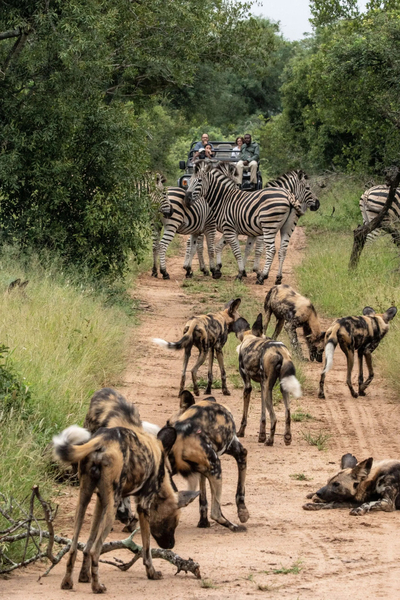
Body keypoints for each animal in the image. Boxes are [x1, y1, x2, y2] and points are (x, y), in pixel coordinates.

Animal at [52, 392, 197, 592]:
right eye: (174, 521)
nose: (171, 545)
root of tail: (102, 441)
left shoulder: (99, 500)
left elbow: (87, 544)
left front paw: (84, 576)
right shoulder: (143, 506)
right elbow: (146, 548)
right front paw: (152, 573)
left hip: (84, 500)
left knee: (76, 546)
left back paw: (68, 582)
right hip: (112, 506)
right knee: (96, 549)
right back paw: (98, 587)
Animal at [160, 392, 248, 532]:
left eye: (168, 422)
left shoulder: (203, 470)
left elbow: (203, 498)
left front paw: (203, 521)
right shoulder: (238, 452)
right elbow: (240, 489)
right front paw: (242, 511)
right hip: (216, 468)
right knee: (216, 513)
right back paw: (234, 526)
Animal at [186, 163, 320, 284]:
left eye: (199, 181)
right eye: (190, 181)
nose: (318, 204)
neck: (223, 199)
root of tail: (288, 195)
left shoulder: (233, 230)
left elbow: (242, 250)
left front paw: (244, 272)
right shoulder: (236, 230)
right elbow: (240, 249)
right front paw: (243, 271)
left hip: (270, 227)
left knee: (273, 250)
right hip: (284, 228)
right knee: (281, 250)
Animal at [233, 314, 302, 446]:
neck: (250, 338)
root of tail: (280, 351)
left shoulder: (247, 386)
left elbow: (245, 416)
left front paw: (240, 432)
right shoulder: (262, 385)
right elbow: (263, 415)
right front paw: (261, 436)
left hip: (268, 391)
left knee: (274, 417)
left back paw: (270, 441)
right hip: (279, 388)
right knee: (287, 414)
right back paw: (287, 438)